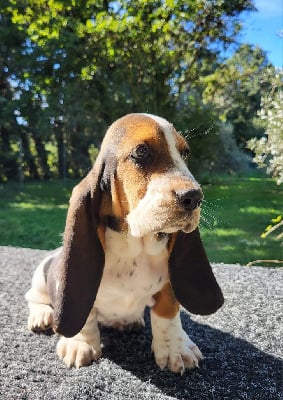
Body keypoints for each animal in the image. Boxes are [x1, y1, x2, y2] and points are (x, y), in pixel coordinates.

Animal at [25, 113, 225, 376]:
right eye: (141, 152)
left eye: (186, 153)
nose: (194, 197)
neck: (136, 248)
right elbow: (85, 312)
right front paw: (81, 343)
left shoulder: (169, 284)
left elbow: (167, 311)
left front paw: (175, 348)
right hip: (41, 275)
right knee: (33, 296)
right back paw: (42, 315)